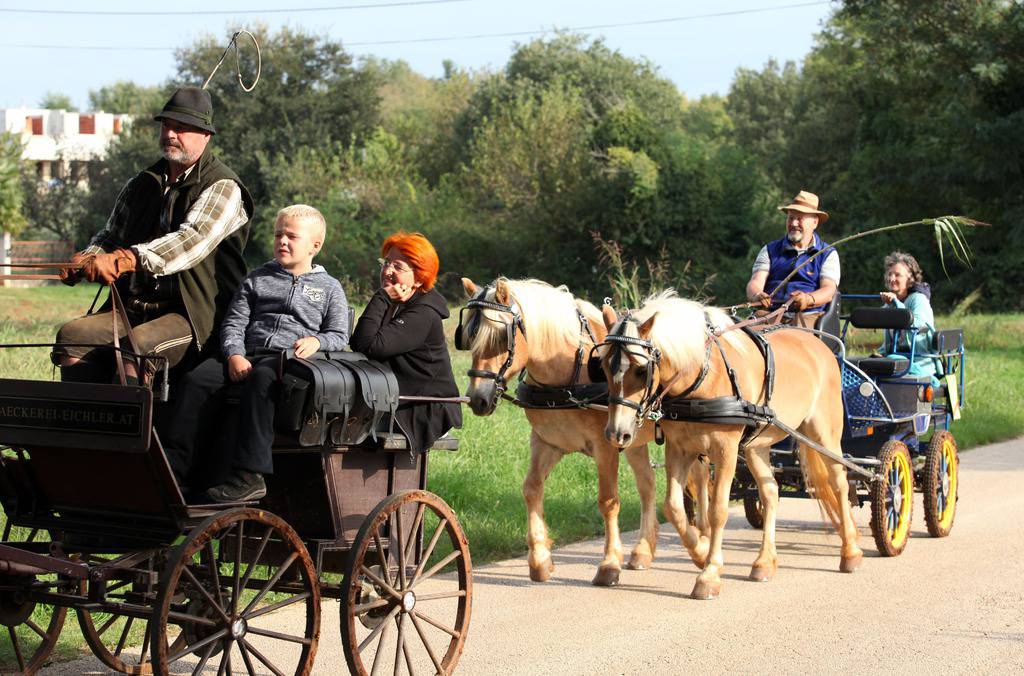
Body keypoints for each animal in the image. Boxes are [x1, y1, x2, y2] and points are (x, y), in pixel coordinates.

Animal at [460, 276, 708, 581]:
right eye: (469, 337)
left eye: (499, 338)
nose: (477, 399)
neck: (568, 372)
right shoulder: (547, 442)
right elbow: (531, 488)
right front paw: (540, 559)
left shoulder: (606, 446)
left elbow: (608, 501)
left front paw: (609, 564)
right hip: (633, 439)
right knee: (647, 485)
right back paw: (642, 550)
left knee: (701, 480)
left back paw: (704, 535)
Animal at [598, 292, 864, 598]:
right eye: (603, 367)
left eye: (642, 370)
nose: (617, 433)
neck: (703, 376)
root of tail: (818, 345)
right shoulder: (679, 448)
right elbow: (674, 507)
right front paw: (700, 552)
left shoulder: (726, 450)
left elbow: (717, 510)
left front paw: (710, 573)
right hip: (757, 446)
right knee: (770, 492)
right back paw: (764, 562)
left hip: (824, 432)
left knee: (839, 482)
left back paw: (851, 551)